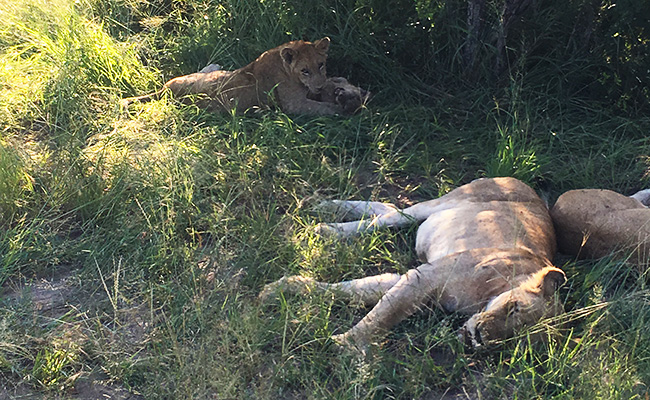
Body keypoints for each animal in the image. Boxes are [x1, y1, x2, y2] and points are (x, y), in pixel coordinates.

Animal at [120, 38, 364, 115]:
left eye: (321, 65)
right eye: (305, 70)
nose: (320, 86)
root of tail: (164, 91)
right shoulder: (294, 104)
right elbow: (324, 108)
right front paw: (342, 107)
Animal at [256, 178, 560, 350]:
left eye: (516, 336)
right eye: (514, 308)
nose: (482, 338)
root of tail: (523, 183)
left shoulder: (409, 279)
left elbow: (352, 291)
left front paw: (282, 289)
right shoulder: (424, 277)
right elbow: (381, 318)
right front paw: (340, 345)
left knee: (387, 210)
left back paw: (325, 211)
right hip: (444, 203)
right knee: (392, 215)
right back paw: (325, 222)